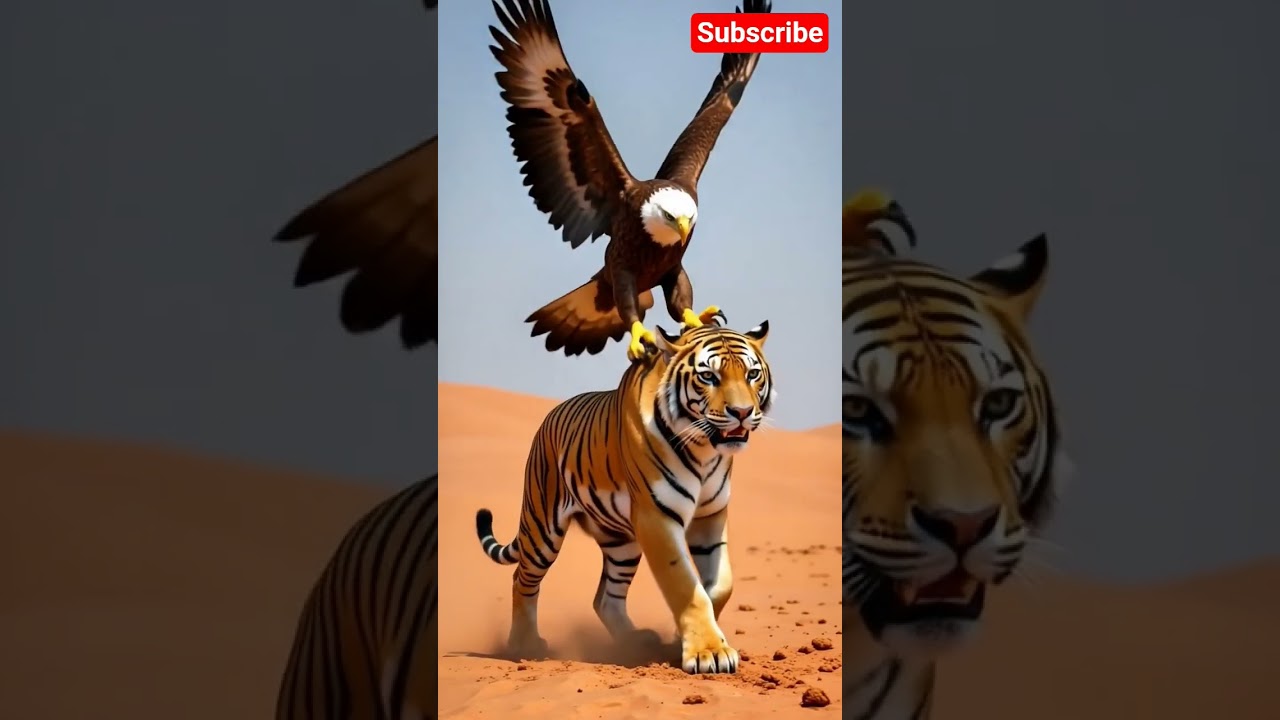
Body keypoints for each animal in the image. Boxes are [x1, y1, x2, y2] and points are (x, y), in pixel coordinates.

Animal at [473, 320, 775, 675]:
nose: (742, 412)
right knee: (522, 579)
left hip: (622, 544)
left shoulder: (709, 517)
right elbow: (685, 586)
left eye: (752, 374)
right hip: (542, 528)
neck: (704, 449)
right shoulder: (656, 518)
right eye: (709, 377)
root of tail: (550, 415)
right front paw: (708, 651)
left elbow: (721, 584)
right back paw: (525, 645)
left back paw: (637, 641)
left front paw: (681, 638)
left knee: (606, 599)